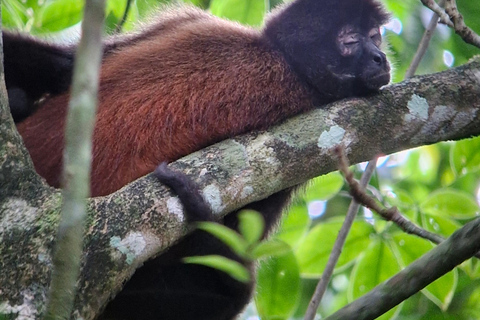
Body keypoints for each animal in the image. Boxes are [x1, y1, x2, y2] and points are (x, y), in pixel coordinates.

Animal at [3, 0, 390, 318]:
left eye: (376, 36)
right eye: (350, 39)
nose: (381, 58)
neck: (284, 61)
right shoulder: (198, 24)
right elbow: (64, 66)